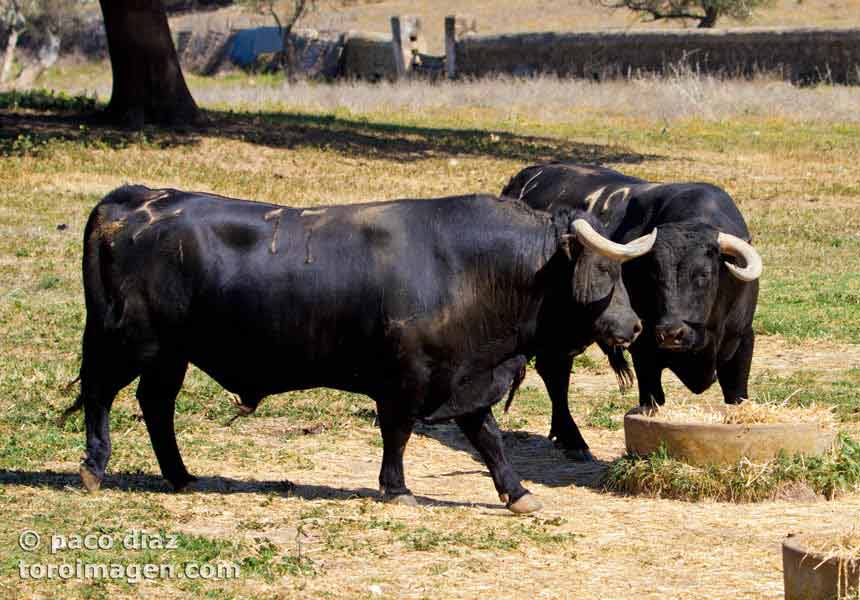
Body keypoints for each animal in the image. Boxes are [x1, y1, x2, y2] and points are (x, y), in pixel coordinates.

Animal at [500, 162, 764, 462]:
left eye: (703, 274)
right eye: (654, 273)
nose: (671, 333)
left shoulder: (742, 341)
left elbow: (736, 396)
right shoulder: (644, 349)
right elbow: (653, 398)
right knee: (554, 372)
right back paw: (574, 440)